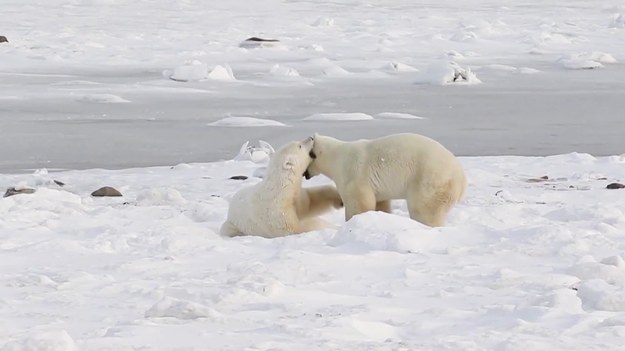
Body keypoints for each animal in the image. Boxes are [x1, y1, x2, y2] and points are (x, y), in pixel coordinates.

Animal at [302, 133, 464, 227]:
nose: (304, 174)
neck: (337, 158)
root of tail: (461, 178)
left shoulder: (354, 176)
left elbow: (359, 203)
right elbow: (381, 203)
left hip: (430, 181)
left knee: (423, 210)